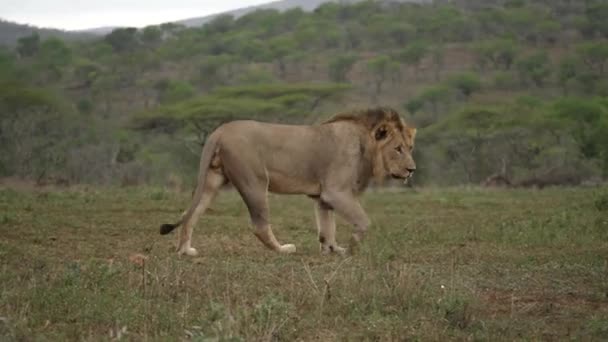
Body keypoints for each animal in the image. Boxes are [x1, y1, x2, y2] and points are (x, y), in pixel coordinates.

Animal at [160, 106, 418, 254]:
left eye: (410, 147)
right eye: (397, 149)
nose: (412, 170)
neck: (365, 145)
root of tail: (219, 131)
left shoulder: (322, 197)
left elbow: (327, 226)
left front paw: (332, 248)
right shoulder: (336, 192)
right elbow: (364, 222)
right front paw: (351, 249)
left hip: (212, 180)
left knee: (190, 214)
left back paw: (185, 251)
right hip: (254, 182)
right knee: (260, 226)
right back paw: (283, 249)